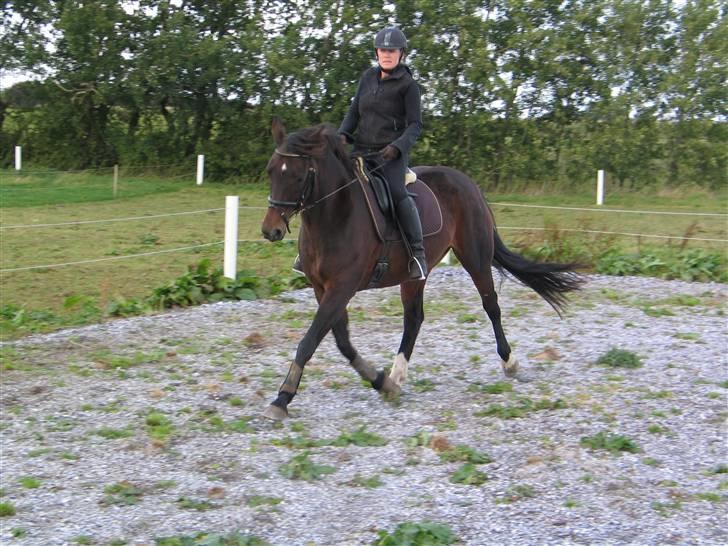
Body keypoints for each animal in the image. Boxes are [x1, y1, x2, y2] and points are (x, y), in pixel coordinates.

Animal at [258, 117, 584, 418]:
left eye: (298, 176)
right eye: (271, 170)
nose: (270, 230)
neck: (336, 216)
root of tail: (468, 183)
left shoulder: (342, 287)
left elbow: (310, 340)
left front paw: (282, 398)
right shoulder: (322, 287)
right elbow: (342, 341)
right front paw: (379, 382)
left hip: (475, 257)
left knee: (491, 305)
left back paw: (509, 362)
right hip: (413, 275)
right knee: (414, 318)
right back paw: (396, 376)